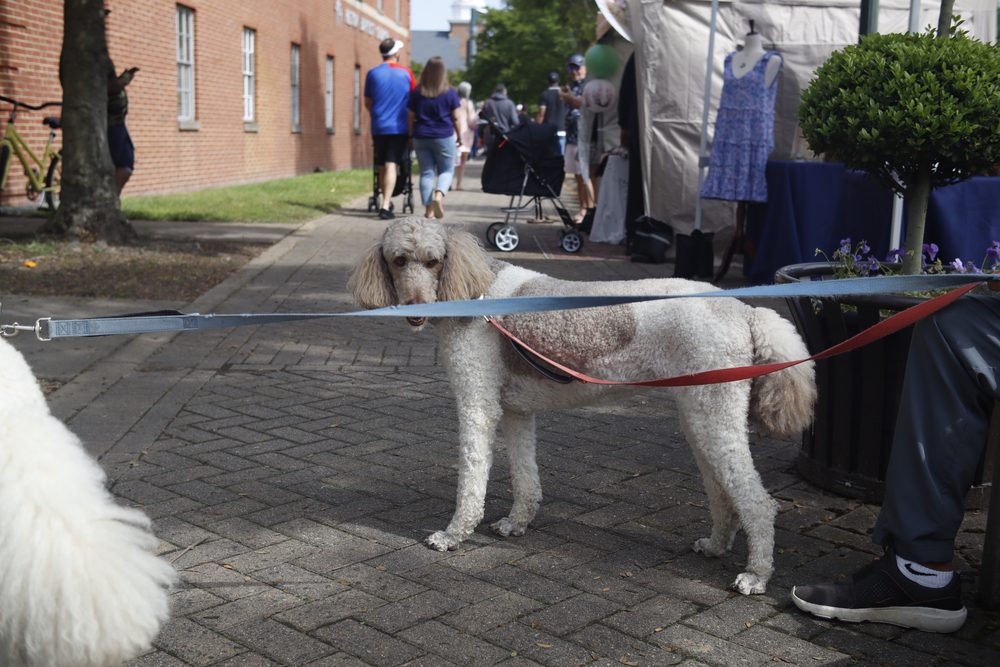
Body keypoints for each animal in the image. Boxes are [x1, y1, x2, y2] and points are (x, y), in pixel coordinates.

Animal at [348, 218, 816, 596]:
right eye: (398, 260)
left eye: (434, 261)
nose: (415, 309)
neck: (474, 289)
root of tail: (744, 310)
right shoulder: (517, 413)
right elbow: (525, 478)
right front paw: (516, 523)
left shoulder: (477, 405)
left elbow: (472, 478)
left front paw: (453, 535)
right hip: (700, 414)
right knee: (722, 492)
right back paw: (716, 546)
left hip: (714, 417)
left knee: (758, 503)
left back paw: (756, 575)